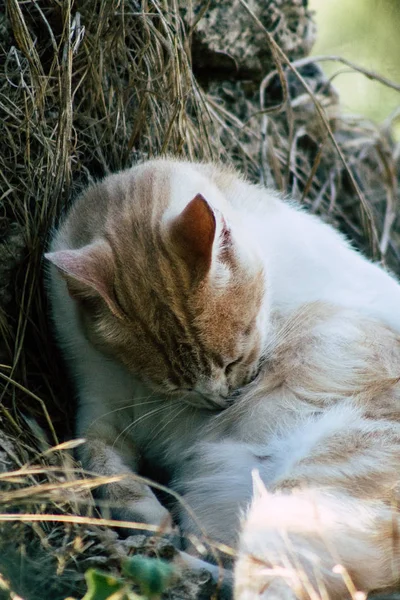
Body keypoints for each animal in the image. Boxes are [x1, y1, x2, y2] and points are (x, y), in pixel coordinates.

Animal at [46, 157, 400, 596]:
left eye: (234, 359)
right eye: (172, 383)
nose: (221, 399)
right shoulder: (97, 413)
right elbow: (100, 463)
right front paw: (143, 515)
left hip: (305, 497)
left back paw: (146, 559)